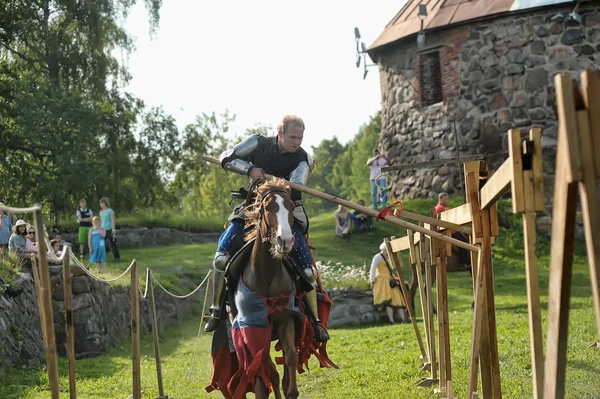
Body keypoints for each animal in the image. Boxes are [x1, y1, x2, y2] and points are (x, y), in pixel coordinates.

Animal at [232, 180, 302, 399]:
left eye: (291, 206)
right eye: (267, 207)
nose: (285, 241)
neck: (266, 275)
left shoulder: (286, 319)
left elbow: (291, 356)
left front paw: (292, 391)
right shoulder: (253, 329)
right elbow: (264, 372)